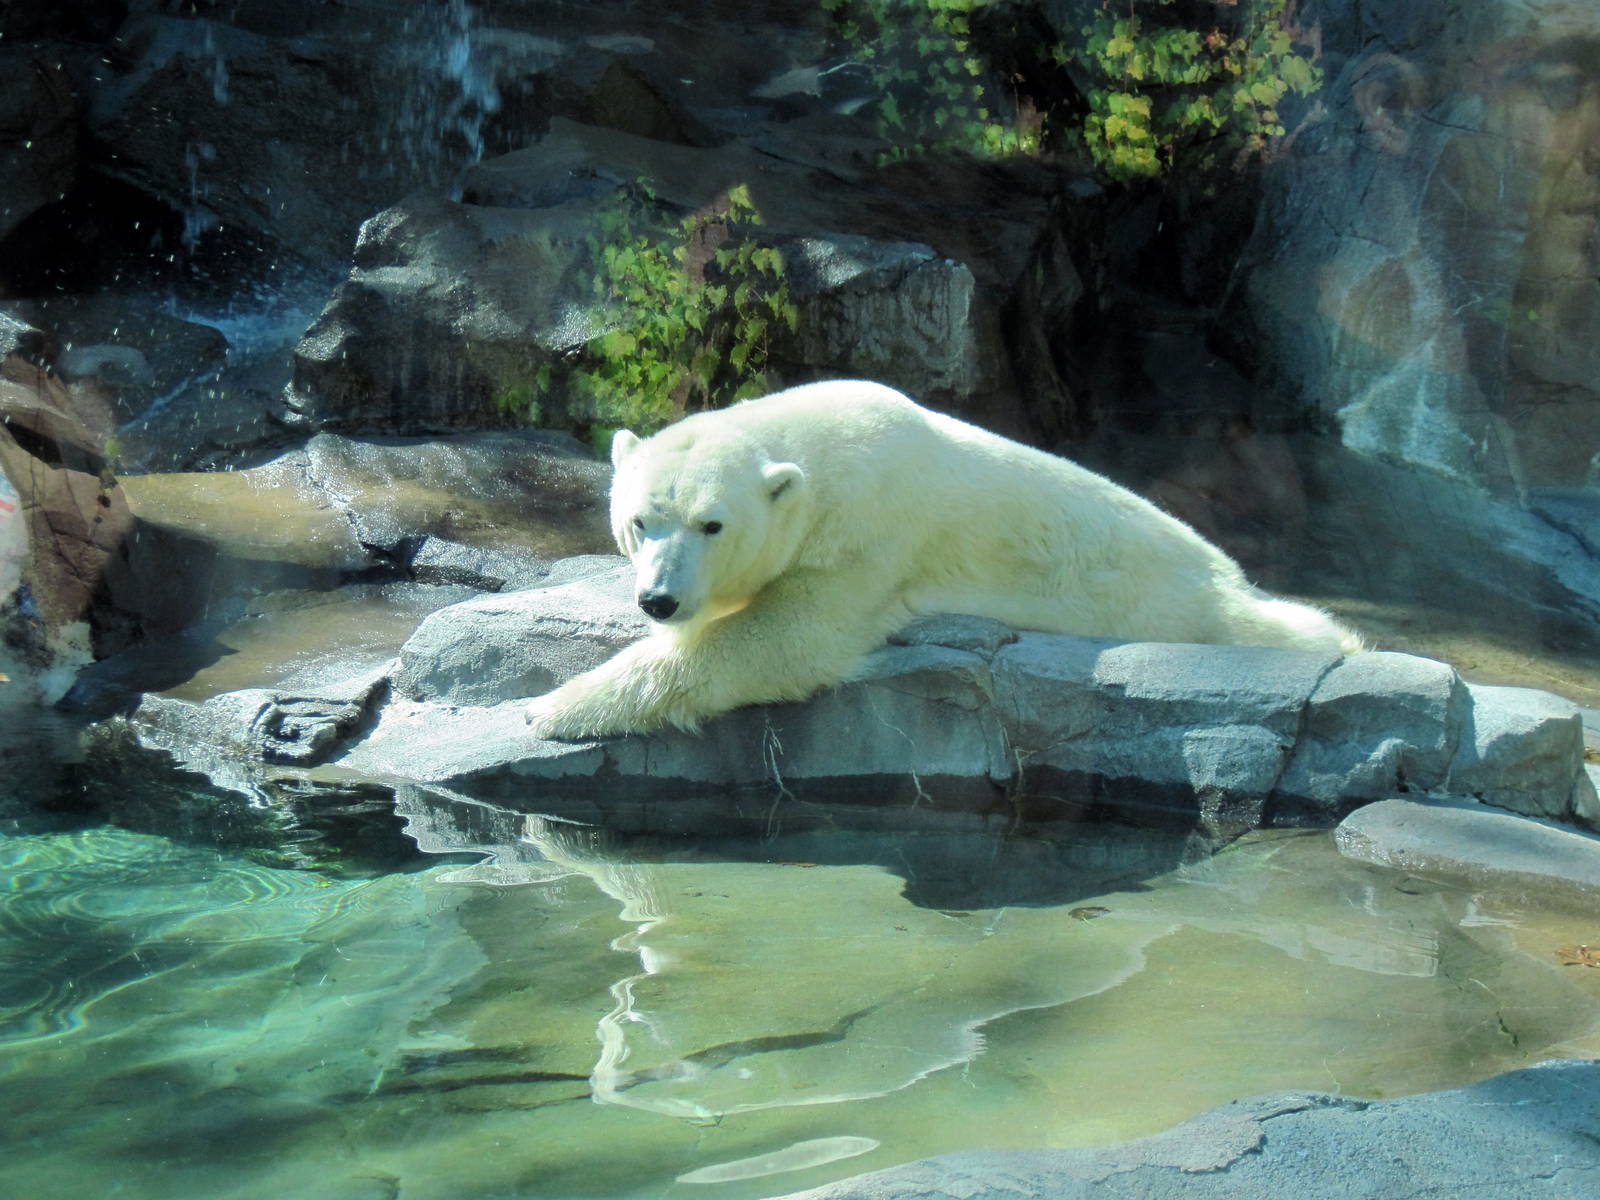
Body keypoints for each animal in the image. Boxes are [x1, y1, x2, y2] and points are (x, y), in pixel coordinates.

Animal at [525, 380, 1362, 739]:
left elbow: (783, 641)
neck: (818, 452)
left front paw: (551, 706)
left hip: (1184, 602)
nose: (658, 600)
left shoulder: (867, 537)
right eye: (639, 521)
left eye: (713, 524)